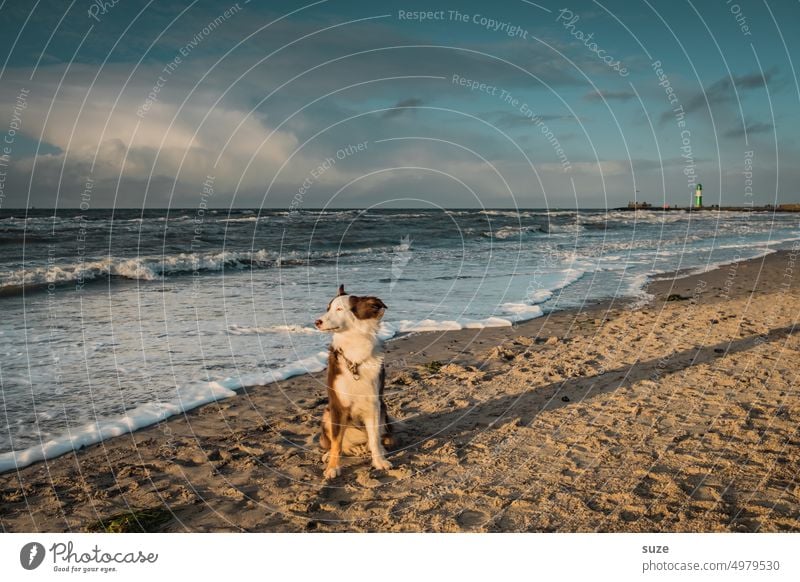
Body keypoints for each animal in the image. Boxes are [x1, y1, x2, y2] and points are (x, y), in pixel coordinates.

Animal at [316, 286, 396, 482]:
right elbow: (336, 442)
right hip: (327, 414)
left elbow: (374, 438)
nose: (317, 322)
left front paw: (379, 461)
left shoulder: (374, 405)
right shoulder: (337, 406)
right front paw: (332, 468)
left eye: (339, 309)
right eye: (328, 308)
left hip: (383, 412)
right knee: (337, 443)